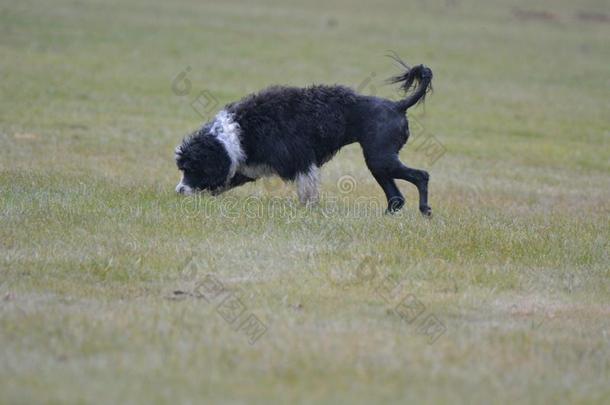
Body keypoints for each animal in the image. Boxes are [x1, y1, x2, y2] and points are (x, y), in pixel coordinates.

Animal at [173, 56, 432, 218]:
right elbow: (226, 182)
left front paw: (308, 211)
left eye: (191, 168)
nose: (179, 191)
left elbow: (307, 191)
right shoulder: (249, 166)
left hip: (380, 159)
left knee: (421, 176)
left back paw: (425, 210)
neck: (236, 133)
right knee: (396, 198)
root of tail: (397, 106)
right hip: (379, 164)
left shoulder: (300, 160)